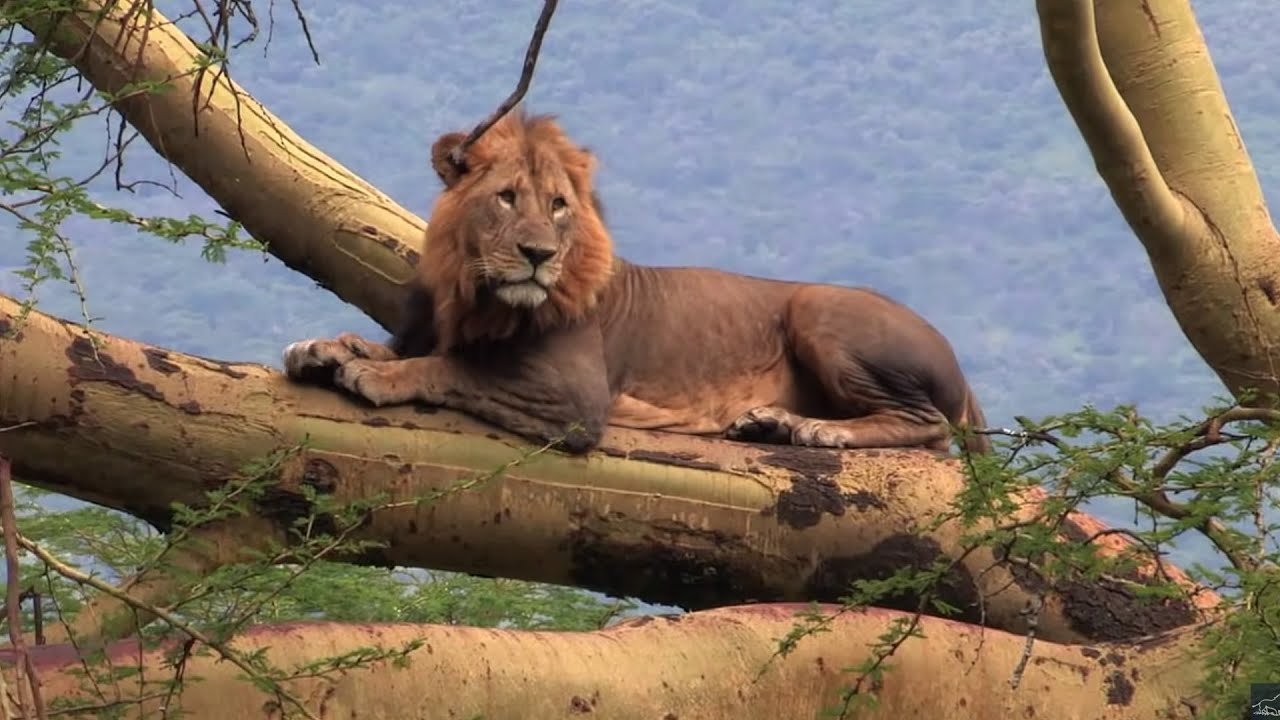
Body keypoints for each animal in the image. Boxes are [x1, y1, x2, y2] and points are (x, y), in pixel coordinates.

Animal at [282, 106, 988, 453]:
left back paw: (819, 430)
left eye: (558, 205)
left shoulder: (574, 399)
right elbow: (409, 349)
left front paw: (373, 375)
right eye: (507, 198)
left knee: (926, 425)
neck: (473, 290)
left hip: (819, 307)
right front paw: (323, 348)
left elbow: (451, 369)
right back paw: (770, 423)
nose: (538, 254)